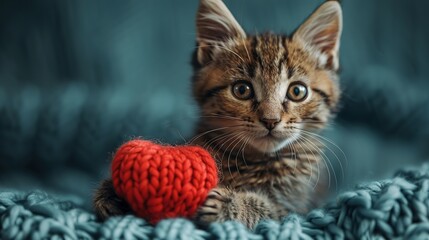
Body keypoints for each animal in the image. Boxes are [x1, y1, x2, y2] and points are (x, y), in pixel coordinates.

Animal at [93, 0, 342, 229]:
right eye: (242, 90)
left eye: (297, 91)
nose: (270, 120)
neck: (254, 160)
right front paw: (112, 192)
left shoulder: (298, 205)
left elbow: (273, 209)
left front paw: (231, 204)